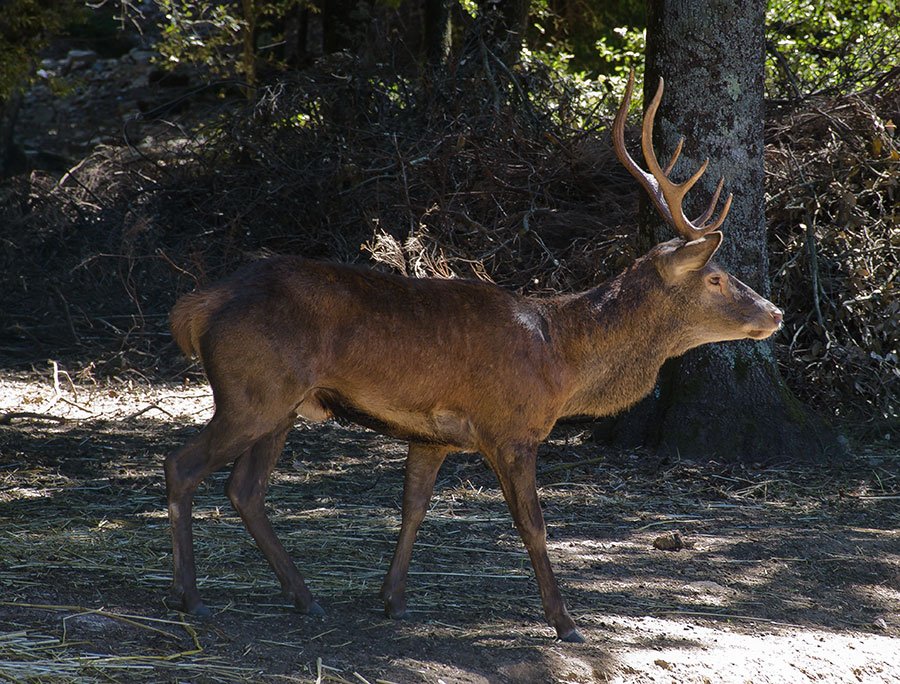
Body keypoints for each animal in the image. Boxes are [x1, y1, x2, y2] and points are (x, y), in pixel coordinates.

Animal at [164, 72, 783, 643]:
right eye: (717, 278)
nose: (775, 313)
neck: (561, 361)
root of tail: (199, 306)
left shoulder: (431, 434)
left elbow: (413, 507)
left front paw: (393, 600)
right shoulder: (510, 428)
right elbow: (533, 525)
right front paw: (565, 622)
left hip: (282, 405)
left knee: (245, 490)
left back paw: (305, 597)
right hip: (253, 391)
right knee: (183, 466)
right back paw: (192, 599)